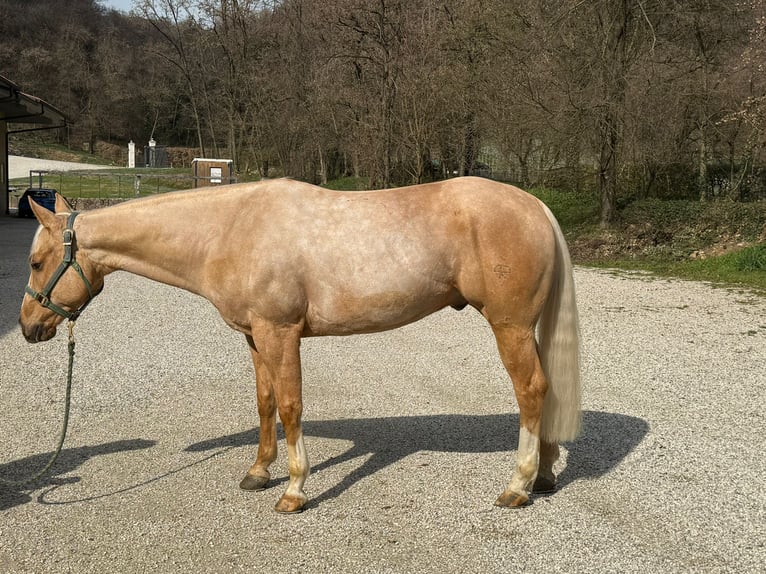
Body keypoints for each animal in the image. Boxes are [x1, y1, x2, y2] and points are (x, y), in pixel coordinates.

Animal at [19, 176, 581, 513]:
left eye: (36, 262)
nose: (27, 328)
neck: (230, 230)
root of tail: (534, 205)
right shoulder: (255, 336)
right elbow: (265, 402)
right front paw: (257, 472)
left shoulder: (280, 332)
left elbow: (290, 406)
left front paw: (293, 490)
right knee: (546, 390)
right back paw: (545, 477)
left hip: (509, 326)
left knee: (531, 391)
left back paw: (517, 486)